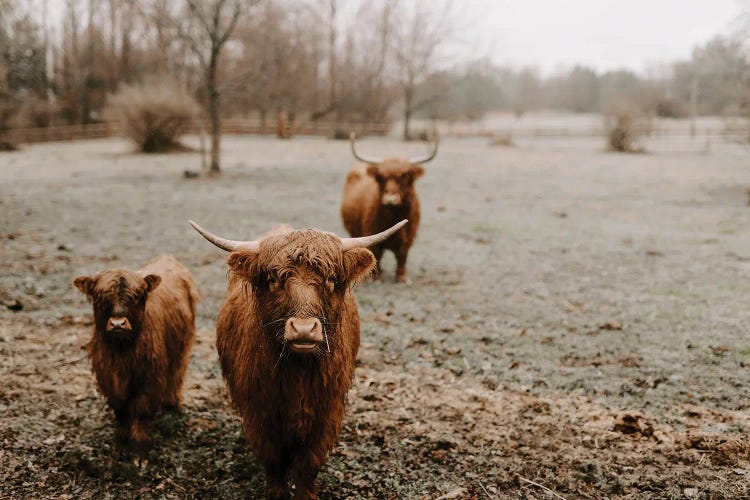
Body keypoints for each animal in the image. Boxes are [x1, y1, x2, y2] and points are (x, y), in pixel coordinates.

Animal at [73, 254, 200, 446]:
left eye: (136, 297)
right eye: (100, 298)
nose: (118, 324)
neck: (122, 349)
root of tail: (167, 257)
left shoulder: (149, 377)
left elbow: (141, 408)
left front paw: (140, 442)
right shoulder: (108, 376)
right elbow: (121, 409)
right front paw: (123, 437)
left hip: (182, 345)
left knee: (177, 372)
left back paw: (172, 403)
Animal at [191, 220, 408, 500]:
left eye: (330, 279)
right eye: (273, 279)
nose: (304, 329)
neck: (298, 374)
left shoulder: (325, 413)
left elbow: (308, 465)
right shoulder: (261, 413)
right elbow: (273, 461)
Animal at [342, 132, 440, 282]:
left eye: (405, 175)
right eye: (380, 176)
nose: (390, 199)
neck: (393, 215)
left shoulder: (408, 236)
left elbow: (402, 256)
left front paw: (402, 277)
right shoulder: (371, 233)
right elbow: (376, 253)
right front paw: (376, 278)